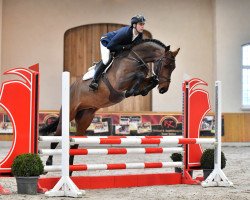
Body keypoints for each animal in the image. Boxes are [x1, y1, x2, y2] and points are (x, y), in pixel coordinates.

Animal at [39, 39, 180, 172]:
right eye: (165, 65)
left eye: (173, 68)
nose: (163, 89)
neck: (136, 59)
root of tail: (70, 87)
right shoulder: (119, 83)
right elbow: (139, 76)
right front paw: (130, 92)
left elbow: (150, 80)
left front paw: (141, 90)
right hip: (69, 114)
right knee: (56, 139)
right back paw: (49, 164)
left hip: (85, 117)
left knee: (75, 144)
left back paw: (70, 169)